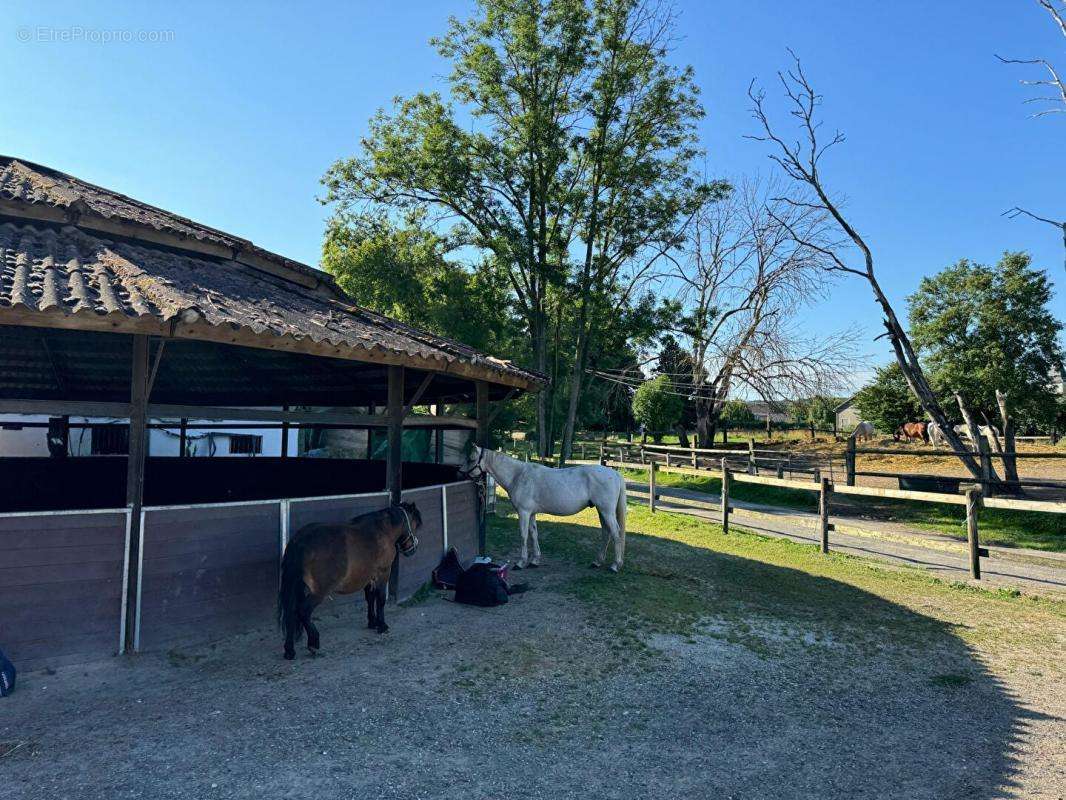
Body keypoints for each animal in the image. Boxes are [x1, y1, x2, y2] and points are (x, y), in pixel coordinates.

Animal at [277, 503, 422, 661]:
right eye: (415, 525)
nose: (412, 549)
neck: (382, 530)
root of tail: (300, 540)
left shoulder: (369, 577)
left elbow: (370, 598)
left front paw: (372, 622)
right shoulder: (383, 573)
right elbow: (380, 599)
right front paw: (382, 625)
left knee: (291, 612)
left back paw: (289, 650)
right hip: (319, 592)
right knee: (303, 610)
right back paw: (313, 643)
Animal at [464, 448, 622, 571]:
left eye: (471, 459)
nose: (462, 473)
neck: (517, 475)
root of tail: (615, 474)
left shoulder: (523, 512)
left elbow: (523, 536)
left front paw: (521, 563)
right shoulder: (531, 513)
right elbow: (534, 534)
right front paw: (534, 561)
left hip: (606, 511)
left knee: (615, 533)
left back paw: (615, 565)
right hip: (601, 511)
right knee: (606, 533)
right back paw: (597, 562)